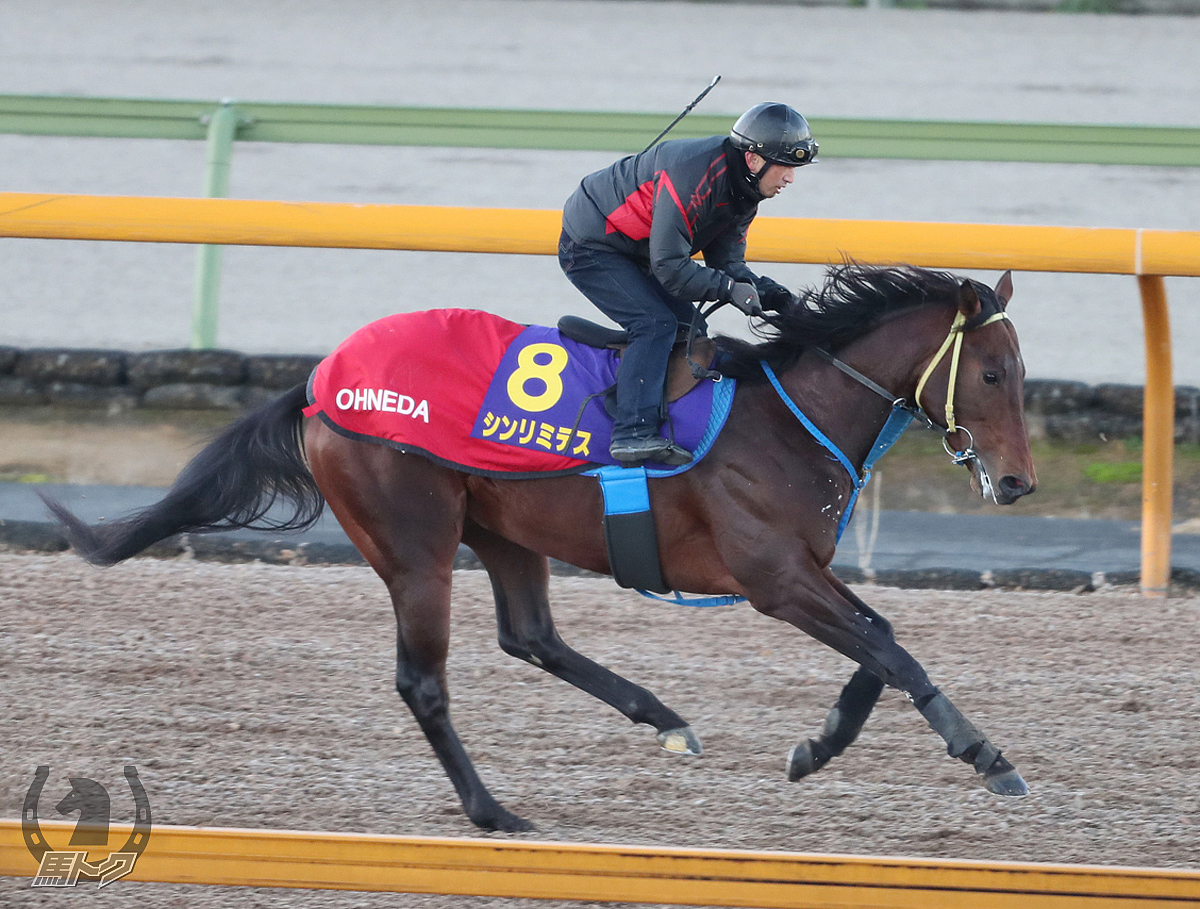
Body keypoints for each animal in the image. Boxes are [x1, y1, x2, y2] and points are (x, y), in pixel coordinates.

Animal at [42, 261, 1036, 834]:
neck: (786, 417)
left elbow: (879, 645)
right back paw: (493, 811)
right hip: (416, 541)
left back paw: (662, 717)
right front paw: (988, 755)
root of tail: (322, 379)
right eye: (991, 373)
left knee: (531, 635)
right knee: (425, 680)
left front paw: (816, 746)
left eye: (1023, 375)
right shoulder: (775, 577)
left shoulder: (804, 572)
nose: (1019, 484)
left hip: (503, 528)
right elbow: (891, 650)